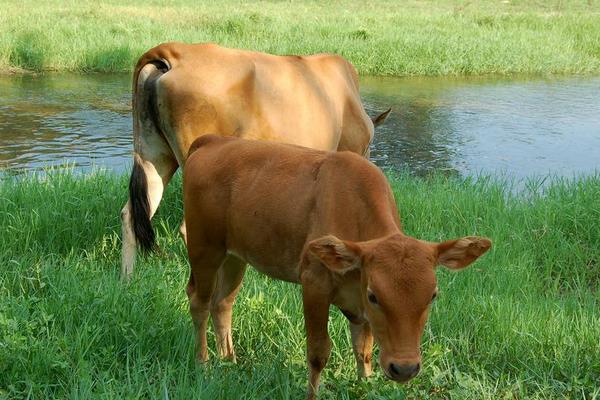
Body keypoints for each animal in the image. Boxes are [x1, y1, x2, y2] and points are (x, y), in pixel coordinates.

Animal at [183, 135, 492, 400]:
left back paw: (230, 362)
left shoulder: (357, 305)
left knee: (223, 303)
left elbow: (363, 350)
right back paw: (203, 365)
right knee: (199, 302)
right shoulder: (314, 282)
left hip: (236, 256)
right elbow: (318, 352)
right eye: (374, 296)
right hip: (203, 247)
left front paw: (364, 385)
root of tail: (212, 140)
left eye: (432, 296)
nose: (404, 368)